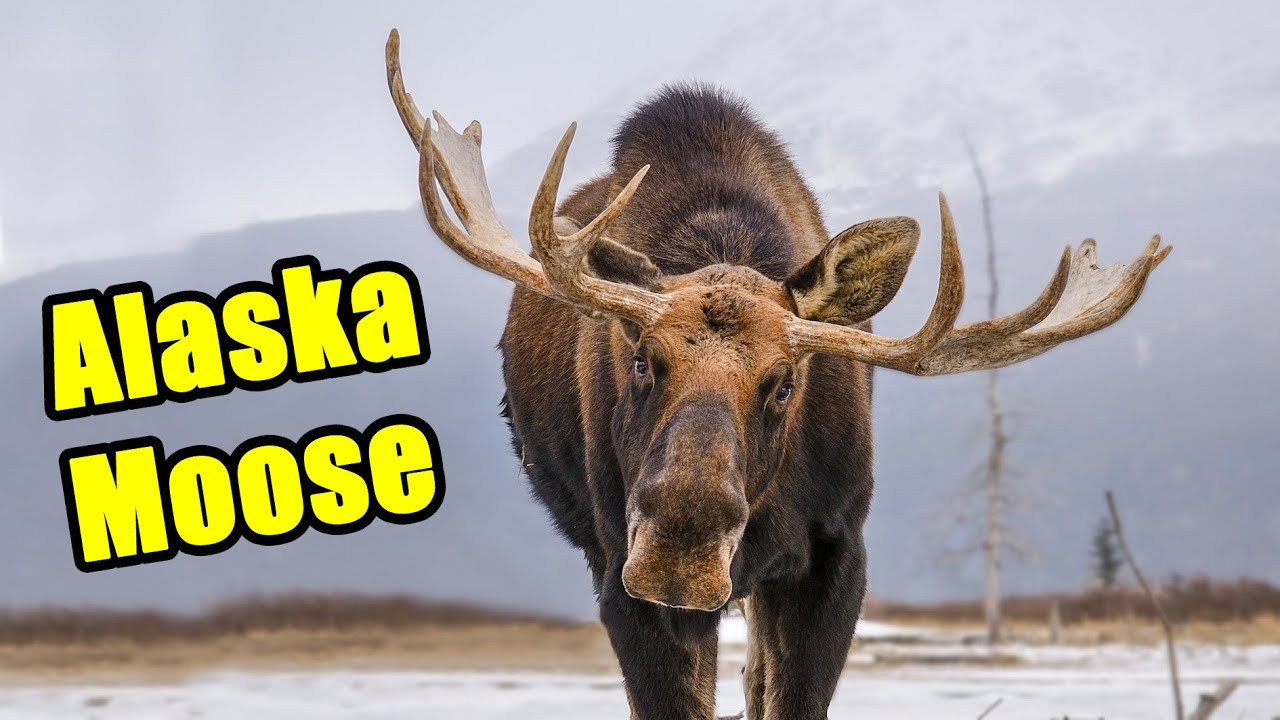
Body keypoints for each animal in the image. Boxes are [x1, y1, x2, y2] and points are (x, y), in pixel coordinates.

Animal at [385, 29, 1169, 720]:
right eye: (641, 359)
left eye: (785, 383)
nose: (682, 546)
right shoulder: (617, 566)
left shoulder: (834, 551)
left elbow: (788, 697)